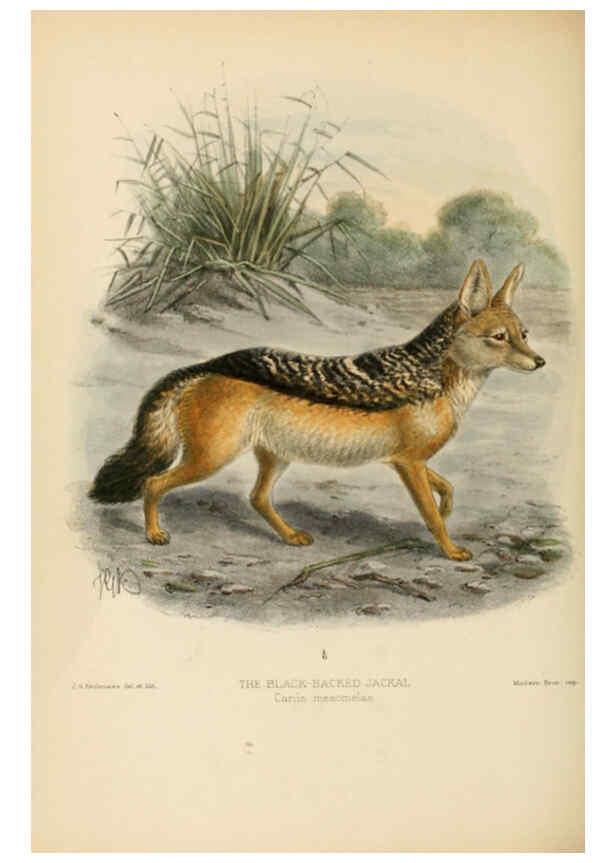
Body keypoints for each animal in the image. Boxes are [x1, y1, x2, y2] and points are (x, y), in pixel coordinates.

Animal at [89, 259, 545, 561]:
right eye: (499, 337)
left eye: (524, 334)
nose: (540, 362)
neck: (439, 380)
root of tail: (206, 366)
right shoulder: (408, 463)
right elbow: (431, 514)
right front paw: (450, 550)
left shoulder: (407, 460)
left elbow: (447, 488)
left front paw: (450, 509)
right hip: (212, 459)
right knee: (153, 484)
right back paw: (154, 535)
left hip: (272, 458)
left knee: (256, 498)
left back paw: (291, 537)